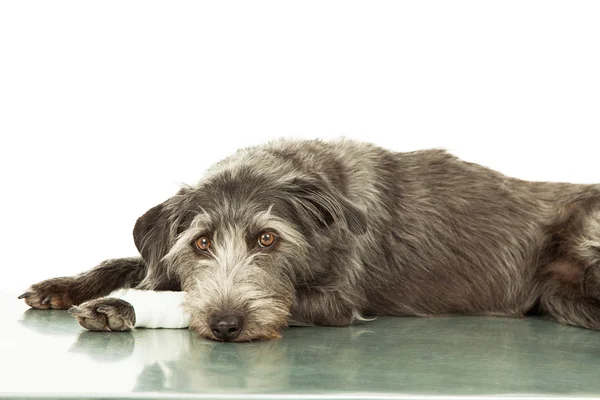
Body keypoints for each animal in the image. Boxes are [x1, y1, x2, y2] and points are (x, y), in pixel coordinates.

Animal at [17, 139, 600, 342]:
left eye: (267, 239)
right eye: (201, 244)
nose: (226, 326)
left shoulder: (338, 300)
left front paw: (120, 307)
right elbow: (131, 260)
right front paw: (66, 285)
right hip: (559, 297)